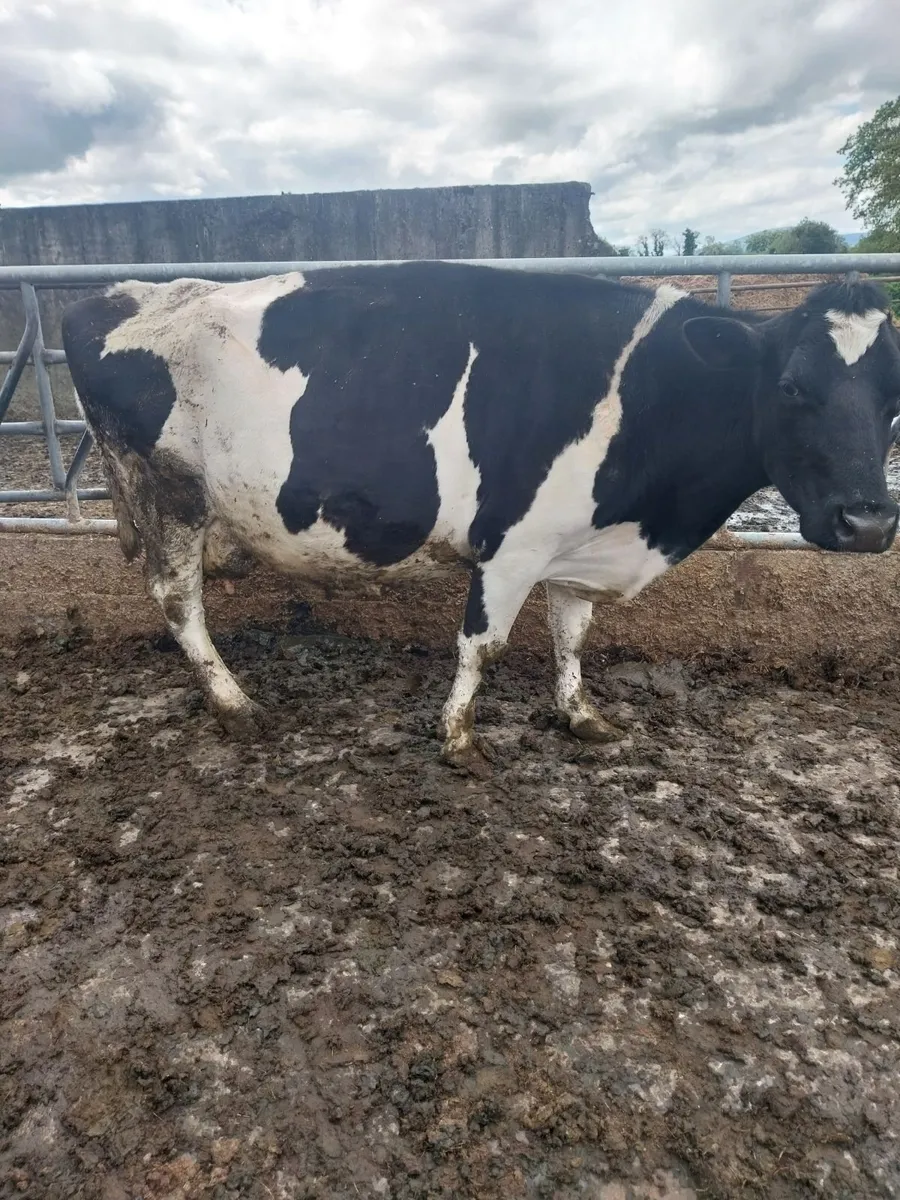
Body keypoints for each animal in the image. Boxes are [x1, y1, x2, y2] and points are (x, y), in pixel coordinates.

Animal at [61, 264, 900, 770]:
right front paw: (458, 736)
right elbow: (483, 646)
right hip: (171, 492)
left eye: (894, 398)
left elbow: (572, 636)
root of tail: (121, 293)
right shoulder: (511, 548)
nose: (868, 524)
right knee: (178, 601)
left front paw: (581, 715)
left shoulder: (576, 549)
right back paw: (234, 703)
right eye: (791, 386)